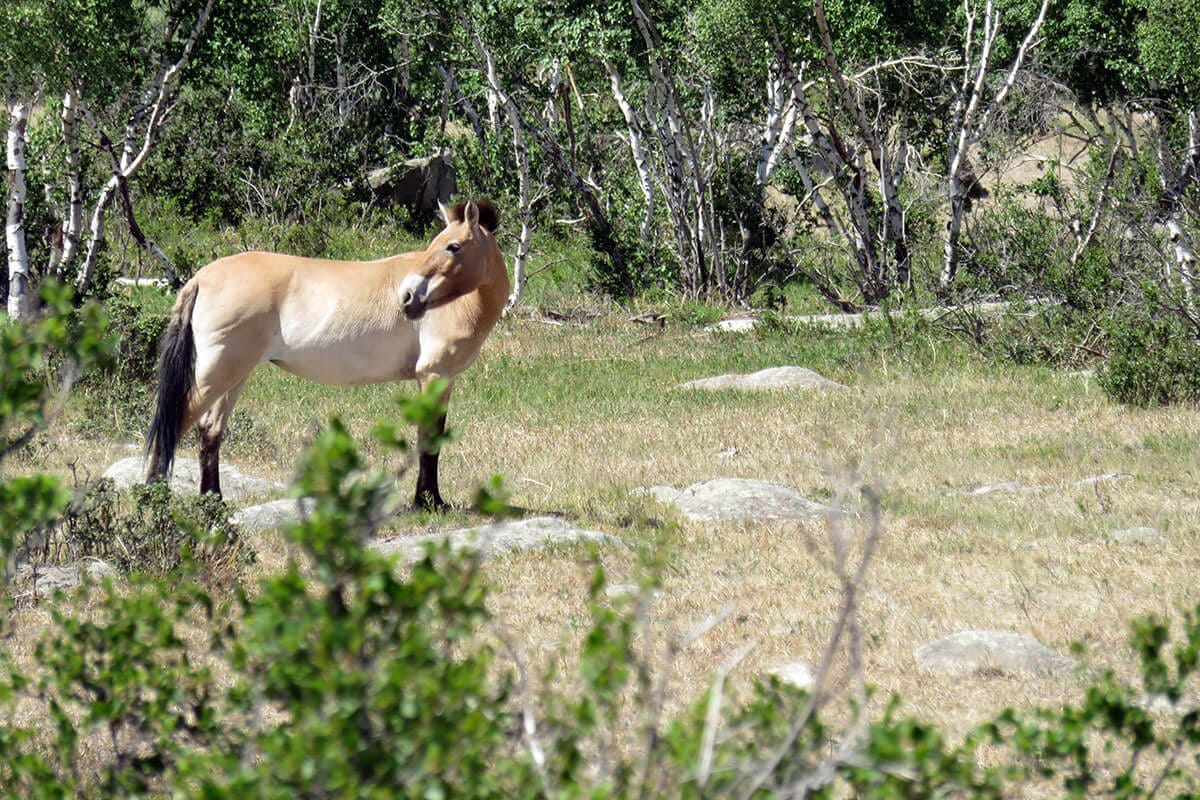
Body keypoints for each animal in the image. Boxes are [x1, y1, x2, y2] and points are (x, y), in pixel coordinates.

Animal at [144, 199, 508, 511]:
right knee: (174, 424)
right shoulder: (435, 375)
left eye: (453, 246)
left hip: (234, 375)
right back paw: (153, 498)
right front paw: (430, 501)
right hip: (218, 372)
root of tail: (200, 278)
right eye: (438, 244)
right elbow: (429, 438)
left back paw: (213, 501)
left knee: (210, 429)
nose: (407, 297)